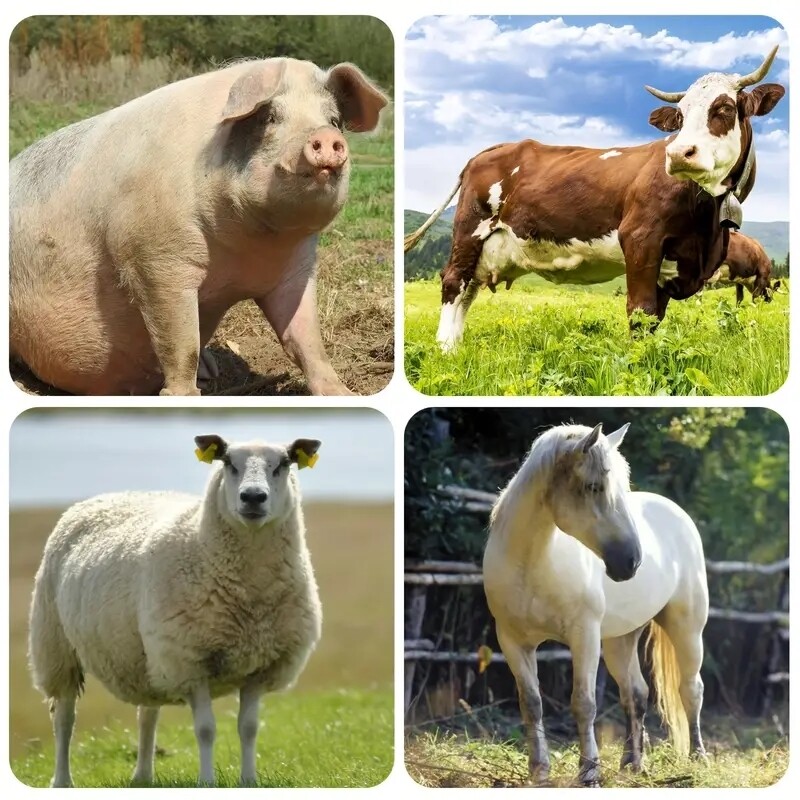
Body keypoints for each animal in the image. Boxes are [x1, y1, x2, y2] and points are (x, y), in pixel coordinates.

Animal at [404, 47, 784, 351]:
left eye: (724, 108)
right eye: (679, 116)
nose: (678, 153)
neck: (706, 225)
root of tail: (489, 150)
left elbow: (656, 318)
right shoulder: (640, 238)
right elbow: (640, 312)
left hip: (488, 248)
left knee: (469, 289)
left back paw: (456, 347)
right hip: (471, 229)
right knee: (453, 282)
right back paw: (445, 350)